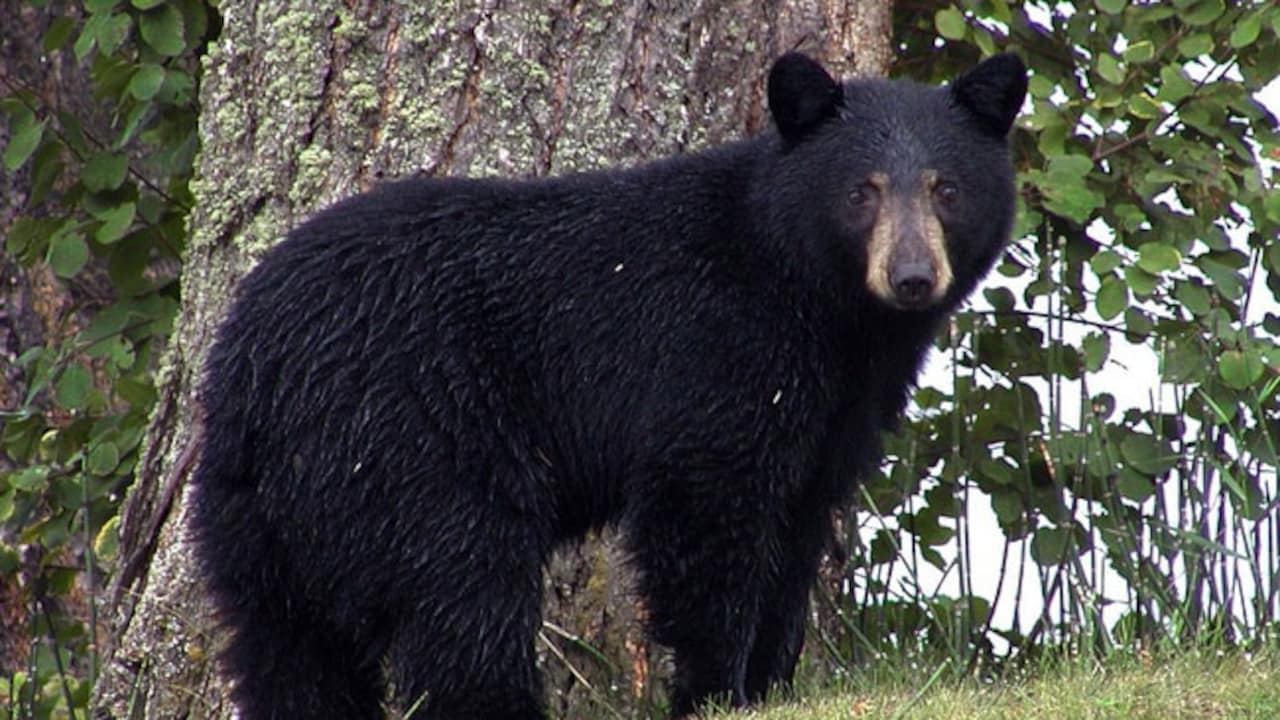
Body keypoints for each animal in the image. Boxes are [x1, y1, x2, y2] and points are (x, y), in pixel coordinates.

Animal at [189, 51, 1026, 719]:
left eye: (946, 188)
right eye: (863, 190)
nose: (912, 277)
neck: (820, 304)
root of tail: (254, 365)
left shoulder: (835, 408)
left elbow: (797, 528)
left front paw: (771, 685)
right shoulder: (717, 353)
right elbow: (706, 512)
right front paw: (715, 691)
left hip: (257, 513)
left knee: (286, 644)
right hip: (412, 441)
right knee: (462, 593)